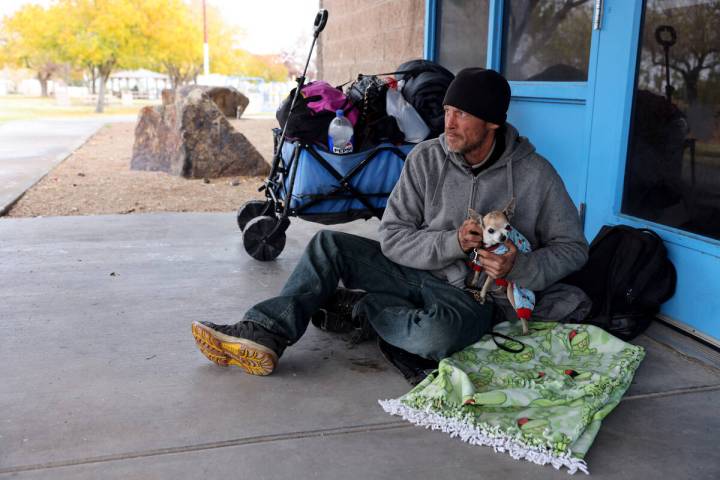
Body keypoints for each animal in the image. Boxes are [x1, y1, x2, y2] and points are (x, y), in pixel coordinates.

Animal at [466, 199, 536, 334]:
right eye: (491, 230)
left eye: (508, 227)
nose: (503, 237)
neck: (491, 246)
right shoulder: (480, 258)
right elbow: (477, 271)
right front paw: (473, 282)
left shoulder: (494, 268)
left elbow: (486, 283)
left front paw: (482, 295)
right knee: (501, 286)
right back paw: (495, 290)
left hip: (513, 293)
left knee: (522, 314)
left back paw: (525, 331)